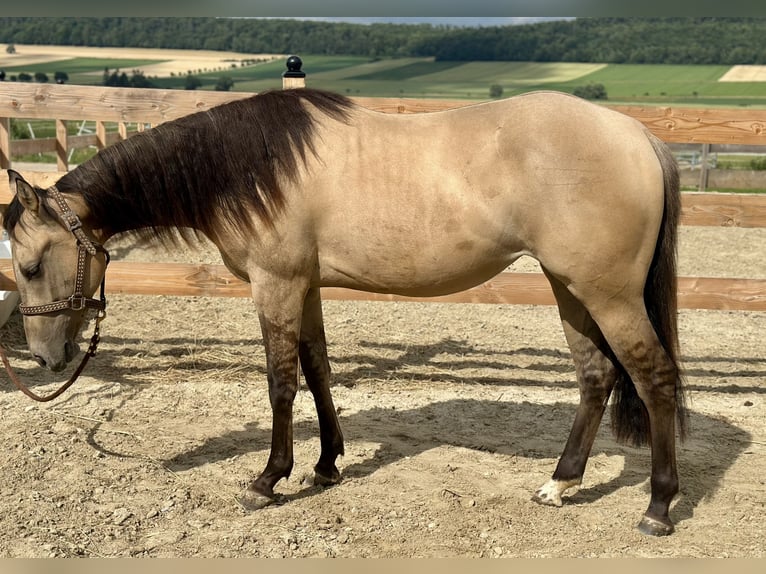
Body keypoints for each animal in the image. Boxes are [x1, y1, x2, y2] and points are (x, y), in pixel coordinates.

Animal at [2, 87, 687, 536]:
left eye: (30, 265)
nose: (44, 357)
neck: (251, 167)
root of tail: (639, 136)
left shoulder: (275, 286)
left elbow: (280, 383)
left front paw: (268, 479)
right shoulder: (304, 287)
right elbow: (317, 370)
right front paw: (327, 464)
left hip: (608, 293)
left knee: (653, 378)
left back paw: (657, 508)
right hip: (568, 286)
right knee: (596, 377)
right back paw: (561, 483)